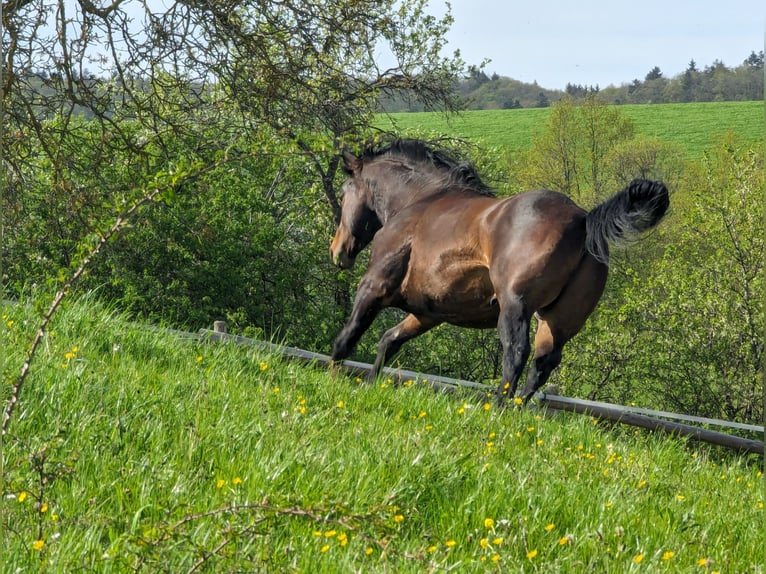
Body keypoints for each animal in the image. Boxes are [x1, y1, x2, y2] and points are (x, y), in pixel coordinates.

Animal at [330, 140, 672, 404]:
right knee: (543, 363)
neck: (418, 202)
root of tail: (583, 220)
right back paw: (515, 411)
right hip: (558, 321)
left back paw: (495, 408)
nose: (338, 251)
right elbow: (389, 340)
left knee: (516, 354)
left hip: (514, 305)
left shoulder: (374, 286)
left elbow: (346, 339)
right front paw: (371, 384)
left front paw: (334, 381)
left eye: (344, 193)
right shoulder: (428, 313)